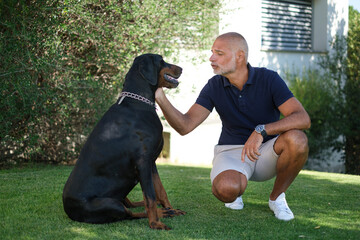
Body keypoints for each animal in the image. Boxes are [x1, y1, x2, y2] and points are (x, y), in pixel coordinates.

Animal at [62, 53, 184, 230]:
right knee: (129, 213)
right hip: (110, 204)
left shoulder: (151, 161)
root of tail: (67, 209)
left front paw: (170, 208)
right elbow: (150, 197)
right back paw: (160, 214)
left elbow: (160, 190)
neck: (138, 103)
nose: (181, 68)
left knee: (131, 205)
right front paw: (155, 224)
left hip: (119, 196)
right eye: (161, 60)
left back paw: (163, 210)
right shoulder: (143, 162)